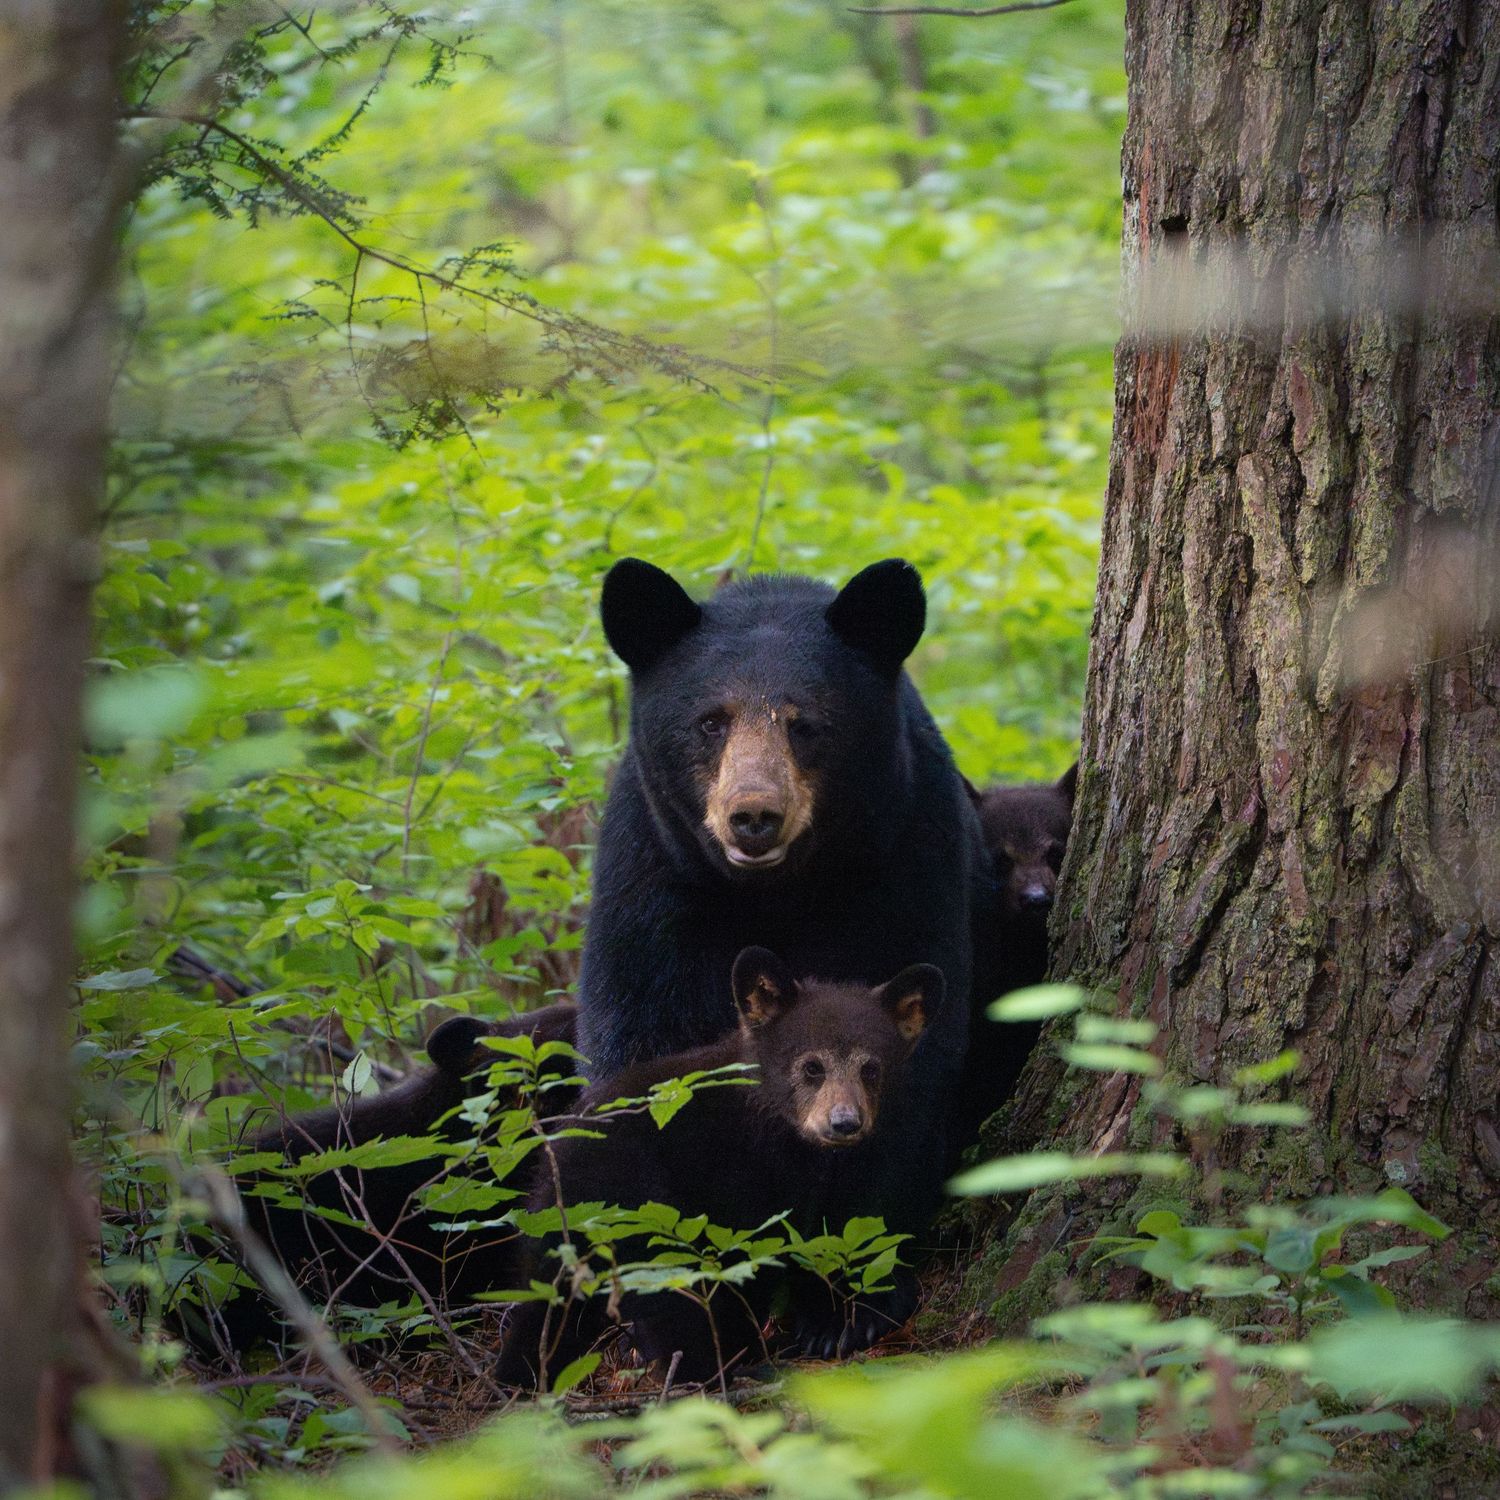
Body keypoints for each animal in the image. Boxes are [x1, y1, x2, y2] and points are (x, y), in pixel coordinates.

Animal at [496, 947, 943, 1390]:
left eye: (871, 1069)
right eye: (812, 1066)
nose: (845, 1123)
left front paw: (837, 1321)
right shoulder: (730, 1177)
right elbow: (748, 1255)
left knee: (550, 1306)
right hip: (639, 1214)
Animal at [577, 557, 987, 1349]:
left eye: (806, 725)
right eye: (710, 722)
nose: (754, 816)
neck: (781, 894)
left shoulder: (905, 865)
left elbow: (910, 1064)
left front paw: (846, 1298)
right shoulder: (652, 890)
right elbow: (643, 1061)